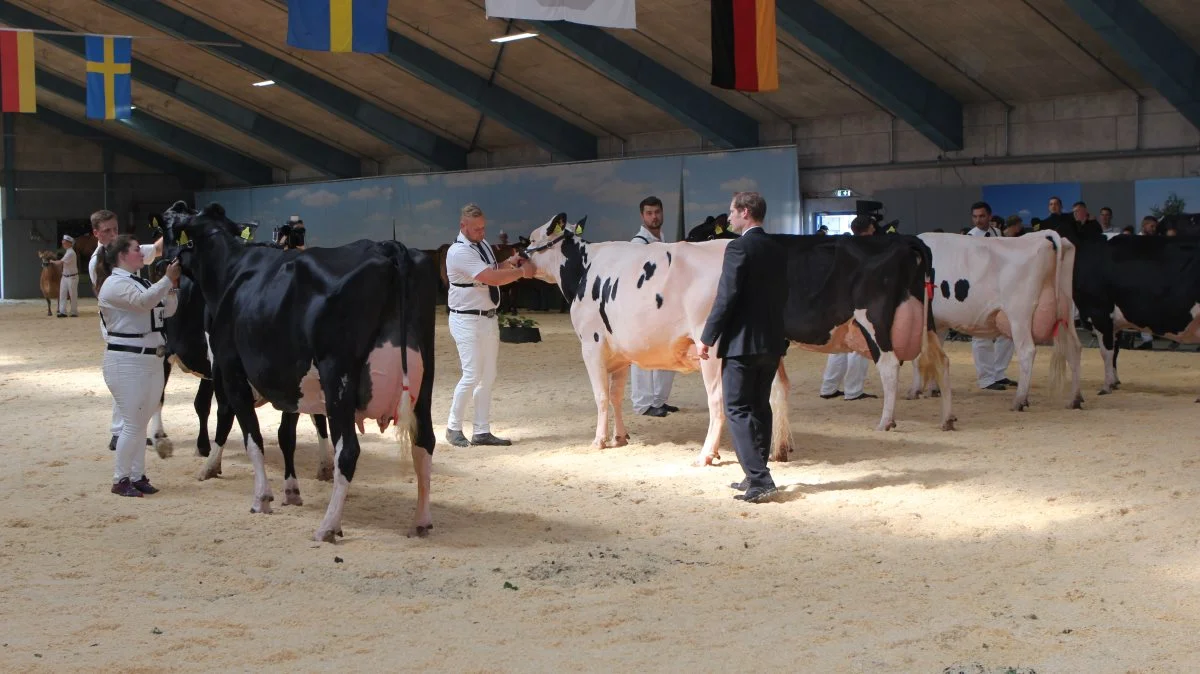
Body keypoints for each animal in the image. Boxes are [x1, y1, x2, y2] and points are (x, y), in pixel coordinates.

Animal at [162, 200, 439, 539]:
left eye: (174, 229)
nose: (163, 263)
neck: (230, 269)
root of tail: (388, 246)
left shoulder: (230, 370)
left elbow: (248, 433)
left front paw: (261, 497)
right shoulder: (289, 380)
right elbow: (285, 436)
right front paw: (291, 492)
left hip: (338, 378)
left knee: (348, 451)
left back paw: (328, 526)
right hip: (424, 377)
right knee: (424, 443)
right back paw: (421, 520)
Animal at [907, 230, 1089, 410]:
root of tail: (1046, 235)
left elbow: (918, 355)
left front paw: (914, 391)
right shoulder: (940, 322)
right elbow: (936, 352)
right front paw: (934, 389)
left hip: (1019, 315)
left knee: (1027, 351)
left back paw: (1019, 401)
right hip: (1066, 312)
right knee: (1074, 348)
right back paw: (1075, 399)